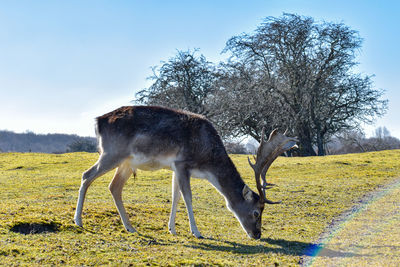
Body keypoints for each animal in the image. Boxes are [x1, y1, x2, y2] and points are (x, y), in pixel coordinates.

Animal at [74, 105, 296, 240]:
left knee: (114, 187)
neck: (207, 160)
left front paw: (171, 229)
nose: (257, 234)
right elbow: (187, 197)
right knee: (86, 175)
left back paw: (130, 227)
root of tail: (98, 122)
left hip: (126, 163)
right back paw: (78, 221)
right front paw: (196, 232)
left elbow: (175, 196)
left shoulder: (175, 167)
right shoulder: (183, 163)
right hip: (112, 153)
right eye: (256, 212)